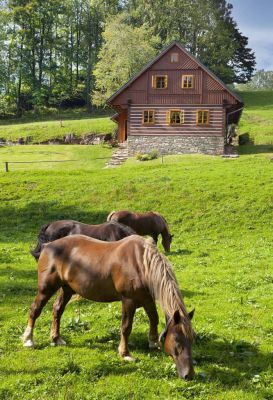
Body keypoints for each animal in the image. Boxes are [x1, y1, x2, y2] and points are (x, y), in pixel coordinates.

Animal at [22, 236, 194, 380]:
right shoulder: (129, 301)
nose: (189, 375)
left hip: (67, 289)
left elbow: (154, 319)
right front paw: (125, 353)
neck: (141, 263)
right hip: (46, 288)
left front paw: (153, 342)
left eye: (192, 339)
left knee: (57, 309)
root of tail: (47, 246)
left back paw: (56, 338)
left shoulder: (147, 299)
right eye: (177, 341)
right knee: (35, 310)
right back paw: (28, 339)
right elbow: (126, 327)